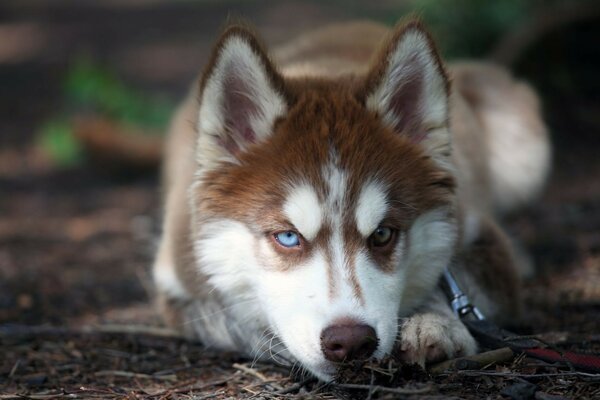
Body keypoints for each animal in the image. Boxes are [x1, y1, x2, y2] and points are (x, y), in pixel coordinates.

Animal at [152, 19, 552, 382]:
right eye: (287, 237)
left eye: (383, 234)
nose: (350, 342)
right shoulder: (176, 280)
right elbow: (227, 318)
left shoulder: (480, 241)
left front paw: (435, 323)